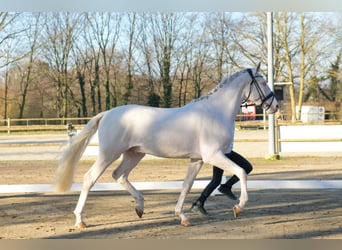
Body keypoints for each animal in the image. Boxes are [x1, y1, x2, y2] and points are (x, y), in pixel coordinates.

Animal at [54, 62, 278, 227]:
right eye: (263, 82)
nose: (274, 106)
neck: (216, 112)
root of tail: (107, 113)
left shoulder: (197, 160)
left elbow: (187, 186)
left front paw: (183, 217)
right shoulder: (213, 155)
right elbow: (242, 172)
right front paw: (239, 207)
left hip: (134, 154)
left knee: (119, 175)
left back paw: (140, 207)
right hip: (109, 153)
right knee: (89, 178)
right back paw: (80, 220)